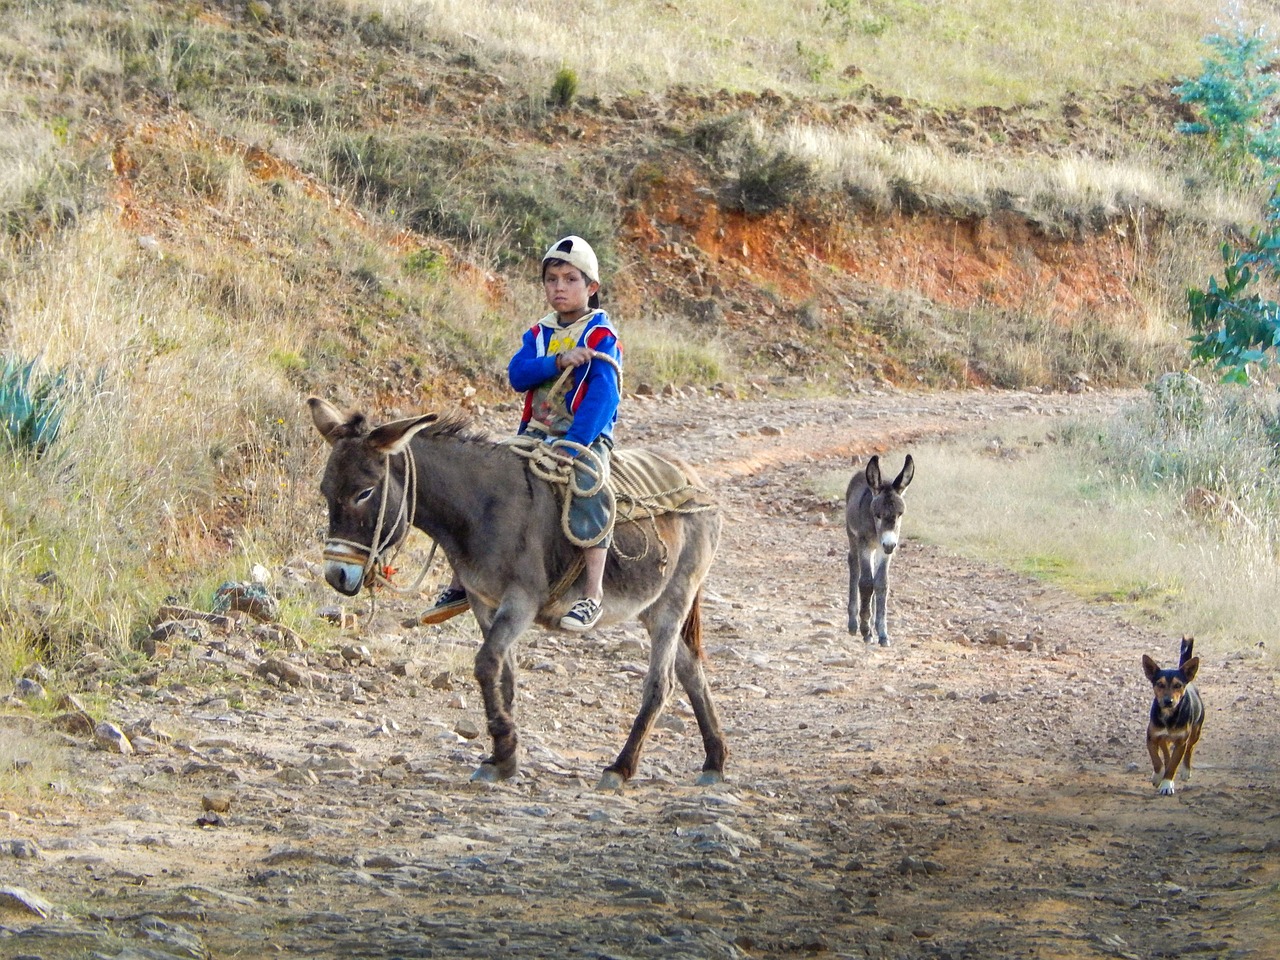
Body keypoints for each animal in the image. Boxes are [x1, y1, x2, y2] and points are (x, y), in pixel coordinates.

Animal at [844, 455, 916, 647]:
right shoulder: (865, 544)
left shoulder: (885, 551)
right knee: (854, 565)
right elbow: (866, 583)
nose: (890, 545)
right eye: (878, 515)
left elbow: (881, 583)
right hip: (852, 536)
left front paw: (882, 633)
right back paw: (853, 623)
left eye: (899, 514)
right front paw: (865, 629)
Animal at [1146, 640, 1203, 798]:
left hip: (1195, 732)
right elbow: (1156, 760)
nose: (1168, 701)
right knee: (1165, 752)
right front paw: (1158, 776)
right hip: (1163, 738)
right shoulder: (1151, 738)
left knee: (1190, 749)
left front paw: (1167, 784)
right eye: (1160, 684)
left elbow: (1173, 765)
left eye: (1178, 685)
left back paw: (1186, 771)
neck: (1168, 715)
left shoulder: (1181, 742)